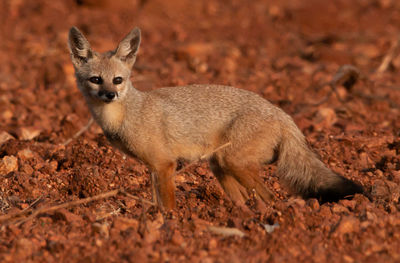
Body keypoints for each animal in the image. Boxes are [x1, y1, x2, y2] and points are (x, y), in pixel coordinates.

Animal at [67, 26, 364, 211]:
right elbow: (156, 202)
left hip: (232, 162)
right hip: (220, 165)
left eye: (118, 80)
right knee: (245, 200)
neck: (127, 113)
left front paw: (168, 223)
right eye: (96, 80)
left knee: (269, 197)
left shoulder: (165, 164)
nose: (110, 95)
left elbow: (168, 206)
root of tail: (283, 113)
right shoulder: (153, 168)